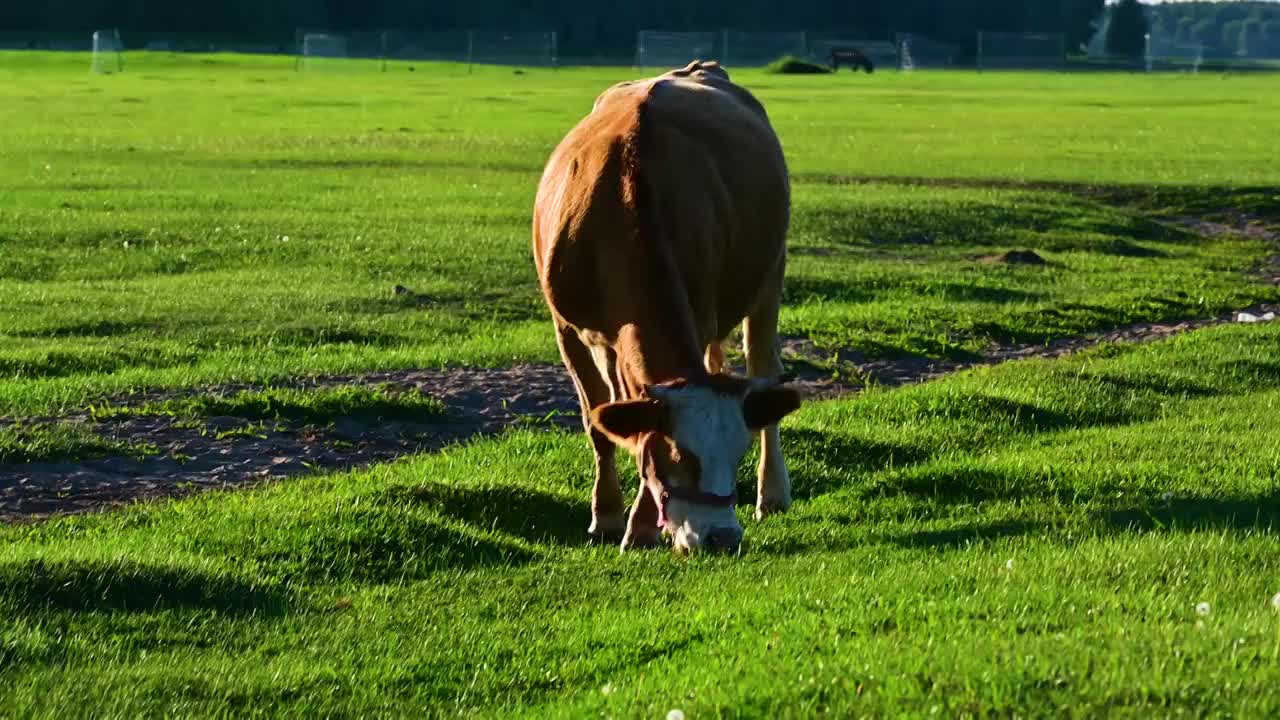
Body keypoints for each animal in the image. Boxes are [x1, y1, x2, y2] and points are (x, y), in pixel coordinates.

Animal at [529, 61, 798, 556]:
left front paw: (640, 528)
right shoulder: (568, 330)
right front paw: (607, 518)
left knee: (762, 365)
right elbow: (602, 420)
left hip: (771, 272)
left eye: (737, 453)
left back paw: (772, 493)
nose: (723, 537)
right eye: (681, 455)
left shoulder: (699, 312)